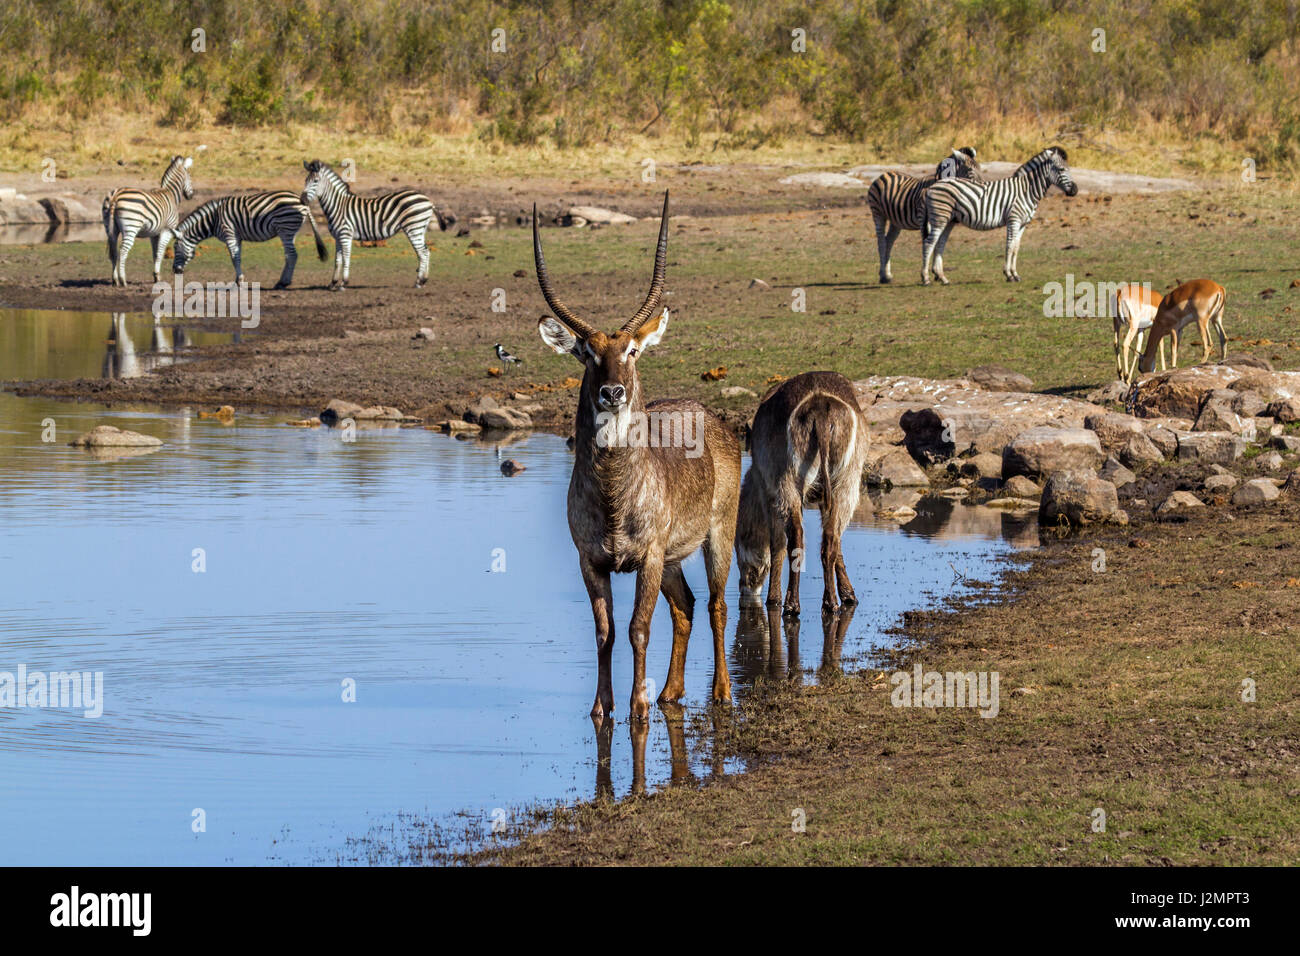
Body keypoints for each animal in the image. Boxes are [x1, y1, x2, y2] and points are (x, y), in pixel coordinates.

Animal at [102, 153, 193, 286]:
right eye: (190, 177)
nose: (191, 195)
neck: (170, 193)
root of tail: (116, 196)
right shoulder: (167, 230)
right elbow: (160, 252)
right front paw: (157, 276)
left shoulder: (154, 233)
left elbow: (155, 253)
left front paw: (156, 276)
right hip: (131, 227)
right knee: (123, 251)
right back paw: (123, 280)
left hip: (110, 228)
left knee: (113, 252)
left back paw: (115, 280)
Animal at [172, 189, 327, 286]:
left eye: (175, 248)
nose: (174, 270)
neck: (213, 219)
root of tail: (301, 201)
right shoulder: (237, 237)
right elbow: (238, 257)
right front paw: (238, 279)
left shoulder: (229, 233)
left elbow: (234, 258)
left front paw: (239, 280)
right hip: (290, 231)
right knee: (289, 256)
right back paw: (283, 280)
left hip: (285, 228)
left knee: (292, 255)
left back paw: (283, 282)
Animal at [297, 160, 444, 290]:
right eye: (305, 181)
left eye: (315, 181)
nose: (302, 200)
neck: (338, 206)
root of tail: (429, 201)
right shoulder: (337, 237)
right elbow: (337, 260)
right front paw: (332, 283)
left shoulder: (345, 235)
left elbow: (346, 258)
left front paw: (344, 283)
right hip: (420, 228)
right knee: (426, 252)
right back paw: (423, 280)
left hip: (413, 228)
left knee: (423, 253)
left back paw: (419, 282)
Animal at [868, 145, 977, 280]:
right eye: (970, 170)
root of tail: (884, 174)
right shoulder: (925, 220)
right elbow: (931, 243)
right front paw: (930, 273)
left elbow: (939, 244)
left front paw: (937, 273)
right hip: (878, 214)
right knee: (881, 242)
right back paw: (883, 275)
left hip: (896, 221)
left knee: (889, 241)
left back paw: (887, 273)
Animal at [925, 145, 1076, 286]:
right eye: (1061, 169)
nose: (1075, 190)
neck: (1027, 190)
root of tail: (933, 186)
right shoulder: (1013, 220)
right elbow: (1009, 246)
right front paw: (1009, 275)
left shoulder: (1023, 224)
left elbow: (1016, 248)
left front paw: (1015, 274)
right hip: (940, 217)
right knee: (929, 243)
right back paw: (926, 278)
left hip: (948, 220)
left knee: (939, 244)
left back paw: (942, 278)